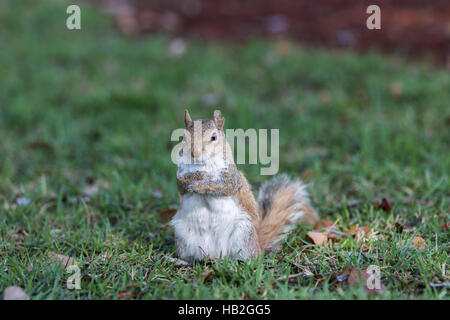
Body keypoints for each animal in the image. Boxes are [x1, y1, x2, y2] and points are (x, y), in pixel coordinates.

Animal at [171, 110, 318, 262]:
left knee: (248, 256)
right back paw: (182, 261)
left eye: (214, 137)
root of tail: (216, 255)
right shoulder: (180, 174)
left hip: (243, 233)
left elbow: (223, 186)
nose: (195, 153)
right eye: (183, 136)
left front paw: (201, 183)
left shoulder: (231, 177)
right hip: (183, 235)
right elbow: (181, 184)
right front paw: (194, 178)